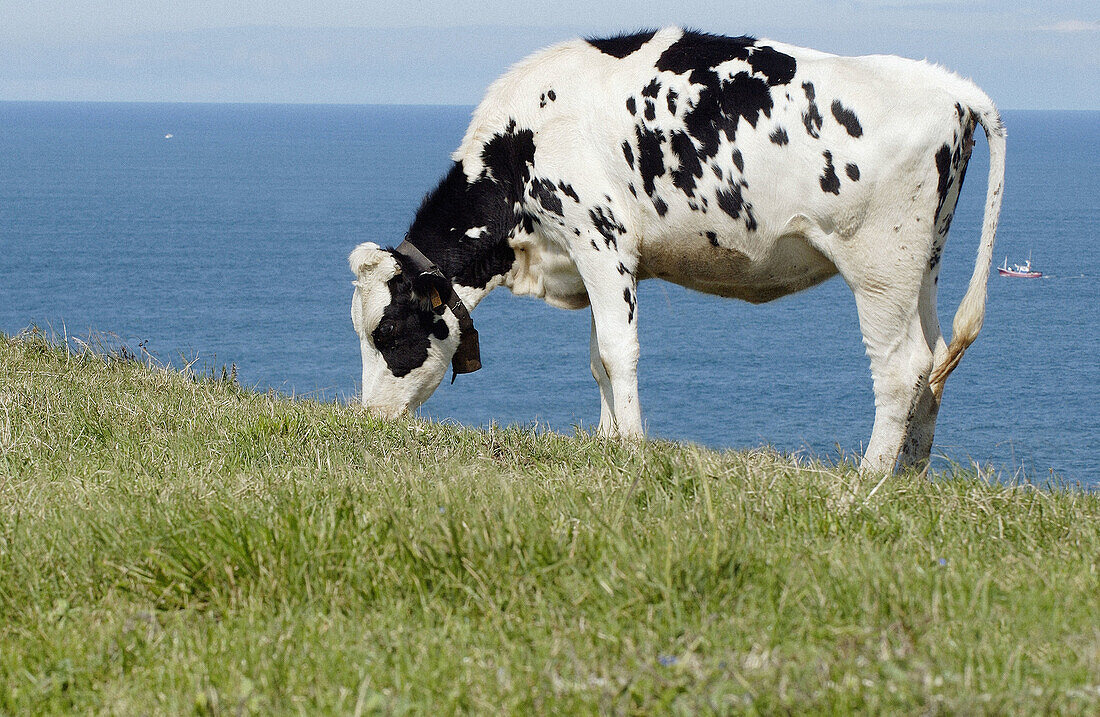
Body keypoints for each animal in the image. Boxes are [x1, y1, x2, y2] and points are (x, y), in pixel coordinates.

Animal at [349, 28, 1007, 472]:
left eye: (390, 332)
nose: (368, 421)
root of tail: (947, 84)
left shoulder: (599, 237)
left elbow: (619, 352)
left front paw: (633, 448)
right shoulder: (601, 259)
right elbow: (598, 357)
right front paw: (607, 442)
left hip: (879, 265)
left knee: (901, 368)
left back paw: (865, 483)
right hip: (923, 260)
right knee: (936, 357)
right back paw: (908, 479)